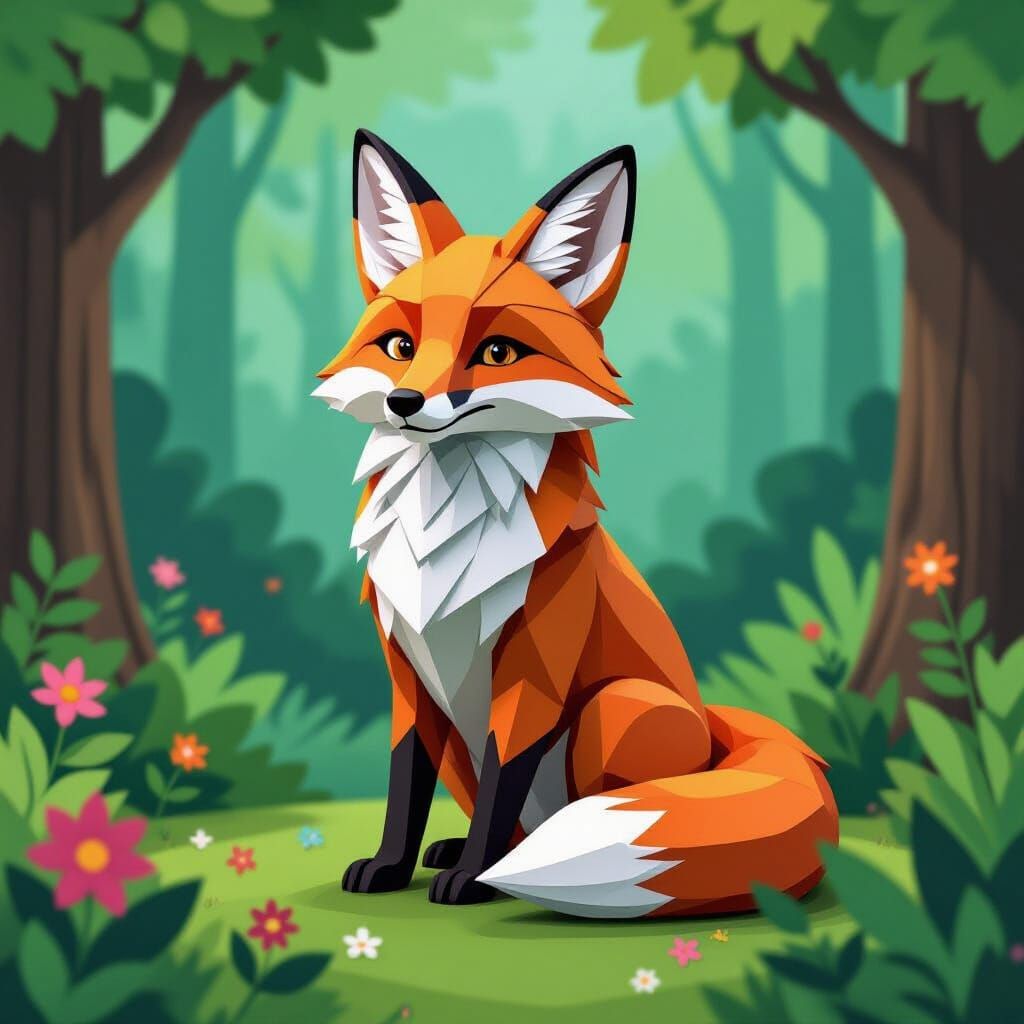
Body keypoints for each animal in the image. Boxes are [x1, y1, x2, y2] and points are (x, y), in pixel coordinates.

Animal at [313, 130, 839, 918]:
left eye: (497, 352)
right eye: (400, 346)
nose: (406, 402)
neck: (443, 542)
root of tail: (714, 723)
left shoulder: (532, 676)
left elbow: (503, 778)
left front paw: (473, 880)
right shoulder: (409, 675)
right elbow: (405, 788)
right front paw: (390, 865)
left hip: (614, 711)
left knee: (564, 814)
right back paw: (459, 851)